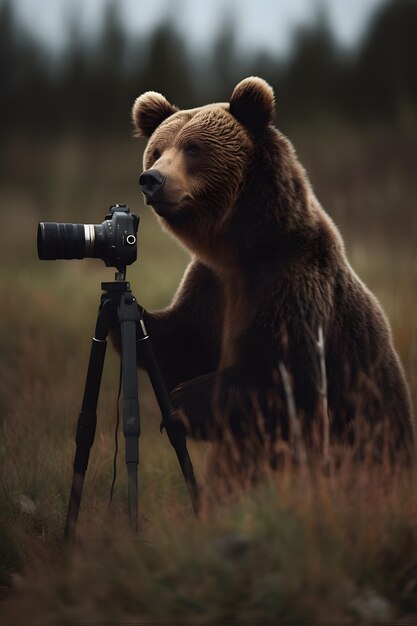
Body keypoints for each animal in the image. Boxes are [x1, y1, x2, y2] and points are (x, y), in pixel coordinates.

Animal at [131, 75, 412, 470]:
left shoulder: (291, 283)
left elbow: (289, 380)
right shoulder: (211, 285)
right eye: (157, 150)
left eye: (193, 148)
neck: (242, 250)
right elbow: (182, 342)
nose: (152, 179)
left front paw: (183, 402)